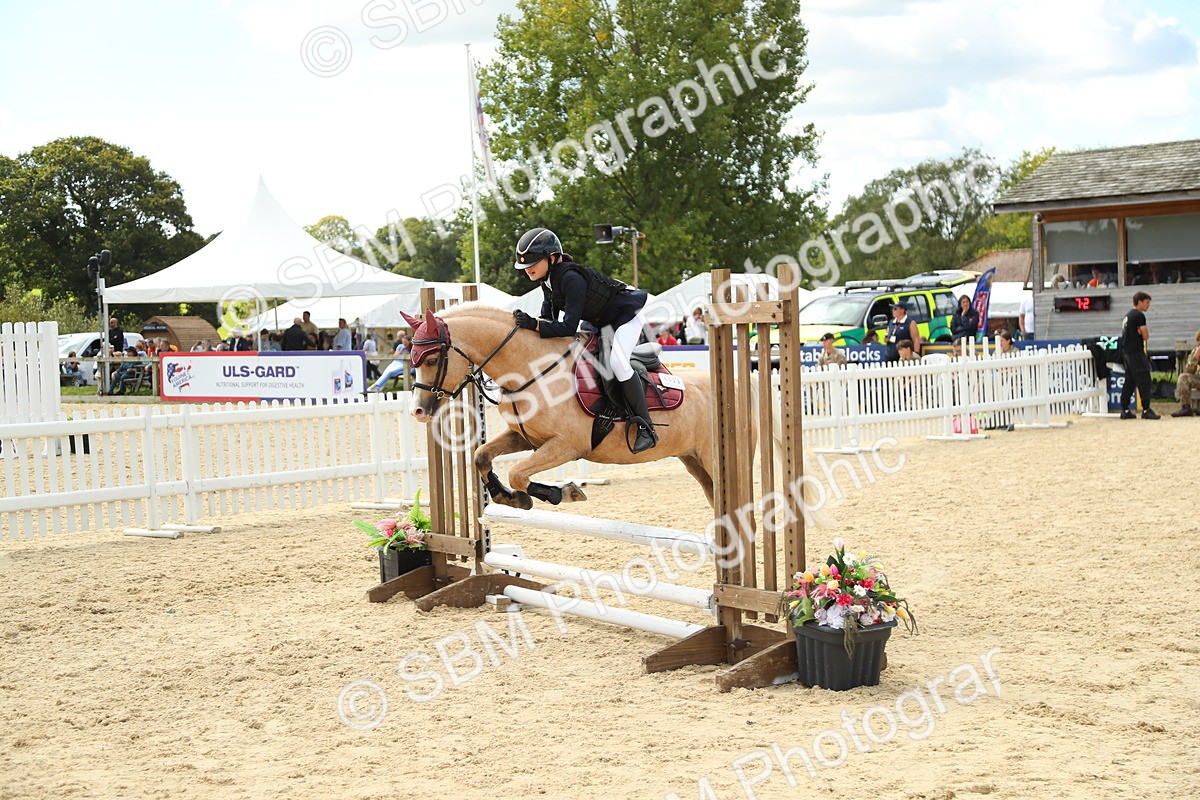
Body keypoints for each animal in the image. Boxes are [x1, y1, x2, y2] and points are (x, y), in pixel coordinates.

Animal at [401, 304, 734, 510]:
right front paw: (509, 498)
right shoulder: (526, 438)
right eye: (412, 359)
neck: (530, 367)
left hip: (711, 460)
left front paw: (562, 492)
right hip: (693, 460)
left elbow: (518, 474)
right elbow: (481, 456)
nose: (418, 411)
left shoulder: (567, 445)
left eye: (432, 359)